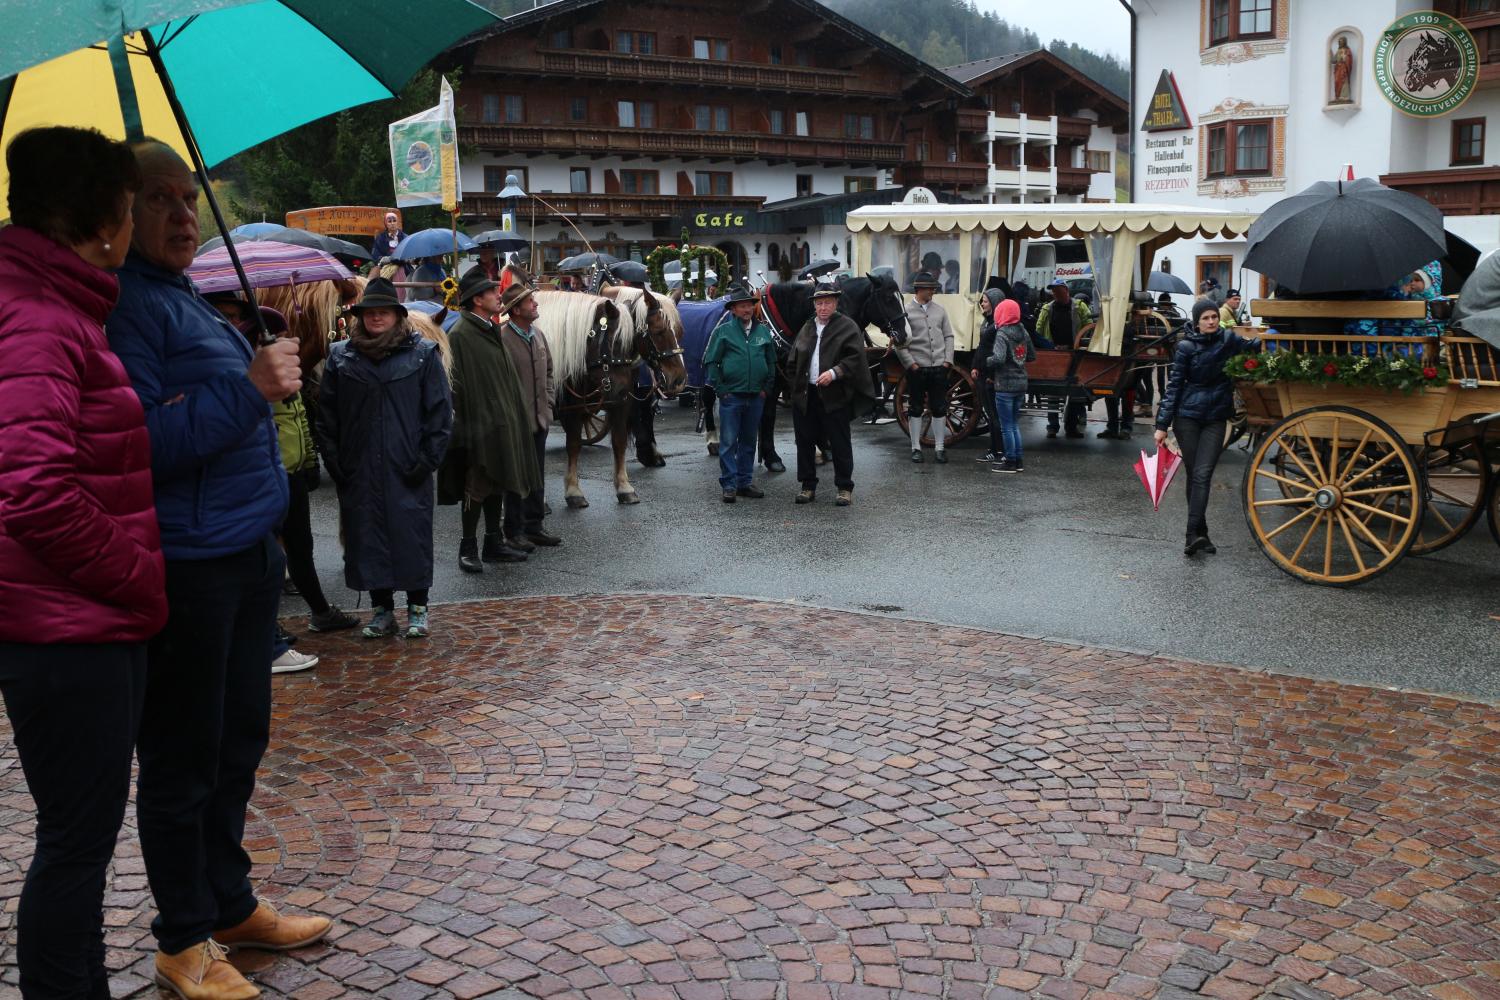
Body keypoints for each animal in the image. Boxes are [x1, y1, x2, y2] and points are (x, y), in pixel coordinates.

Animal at [536, 288, 687, 507]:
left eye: (680, 332)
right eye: (658, 331)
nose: (679, 381)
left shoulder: (620, 402)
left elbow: (619, 441)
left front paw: (624, 487)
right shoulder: (569, 406)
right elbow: (570, 445)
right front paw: (570, 491)